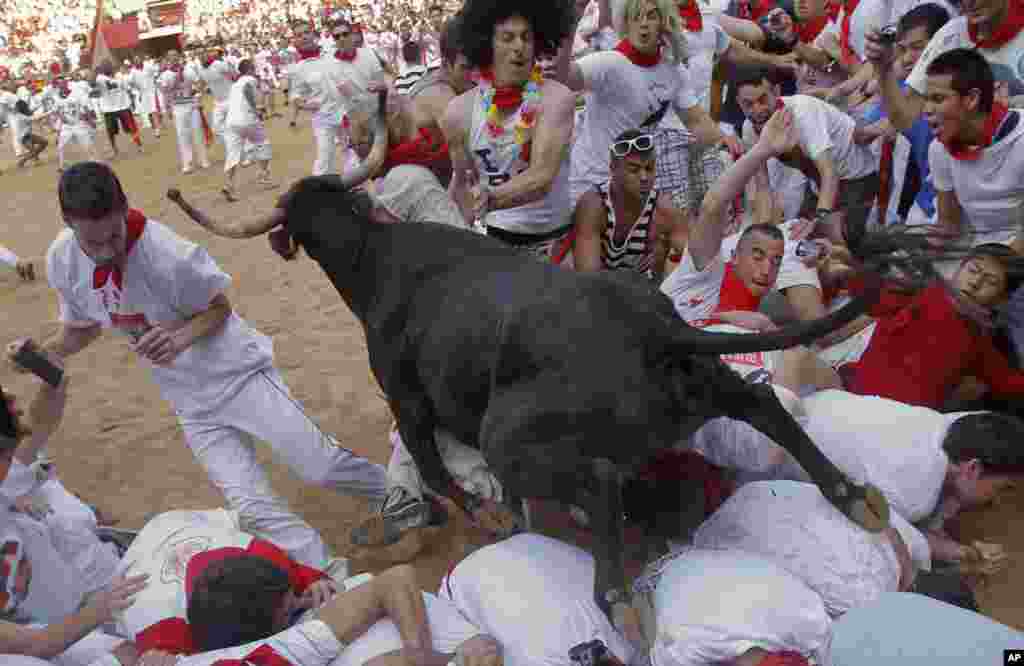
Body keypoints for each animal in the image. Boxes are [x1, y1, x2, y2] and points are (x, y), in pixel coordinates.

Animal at [272, 176, 888, 610]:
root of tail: (650, 326)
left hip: (507, 438)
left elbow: (434, 468)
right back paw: (852, 496)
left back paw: (614, 596)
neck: (375, 255)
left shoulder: (406, 399)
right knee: (762, 406)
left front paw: (490, 517)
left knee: (599, 478)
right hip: (703, 383)